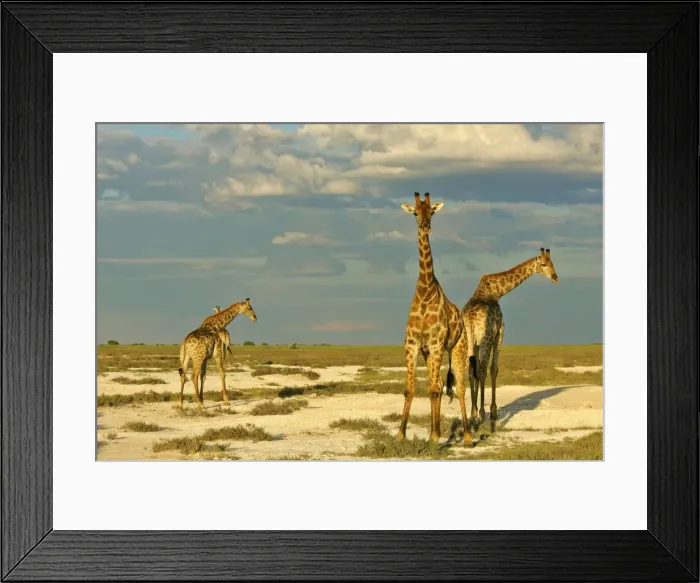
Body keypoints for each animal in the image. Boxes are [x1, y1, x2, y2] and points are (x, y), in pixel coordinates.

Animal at [399, 192, 470, 445]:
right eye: (415, 213)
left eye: (432, 212)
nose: (425, 226)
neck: (424, 292)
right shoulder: (413, 344)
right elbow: (411, 389)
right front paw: (401, 434)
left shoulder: (438, 344)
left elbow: (433, 390)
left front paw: (435, 437)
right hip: (429, 353)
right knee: (438, 384)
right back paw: (435, 431)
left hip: (458, 349)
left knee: (460, 387)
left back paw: (467, 436)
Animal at [462, 248, 558, 431]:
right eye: (543, 264)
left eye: (552, 263)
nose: (555, 278)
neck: (497, 291)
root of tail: (469, 319)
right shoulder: (499, 333)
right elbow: (494, 369)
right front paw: (492, 412)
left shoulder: (476, 344)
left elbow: (475, 373)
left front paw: (474, 412)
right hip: (485, 341)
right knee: (482, 370)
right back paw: (482, 415)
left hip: (468, 343)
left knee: (471, 371)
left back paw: (472, 414)